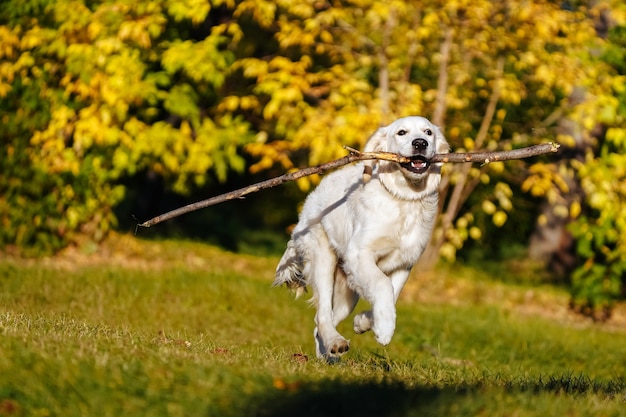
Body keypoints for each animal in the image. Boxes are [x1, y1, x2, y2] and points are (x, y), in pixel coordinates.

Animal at [276, 115, 446, 360]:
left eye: (428, 132)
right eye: (402, 132)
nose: (420, 143)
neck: (403, 199)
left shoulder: (404, 263)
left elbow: (393, 293)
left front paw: (364, 322)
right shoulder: (359, 253)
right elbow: (383, 285)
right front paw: (385, 329)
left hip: (348, 291)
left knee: (320, 324)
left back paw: (329, 354)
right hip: (323, 260)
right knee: (322, 315)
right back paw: (336, 342)